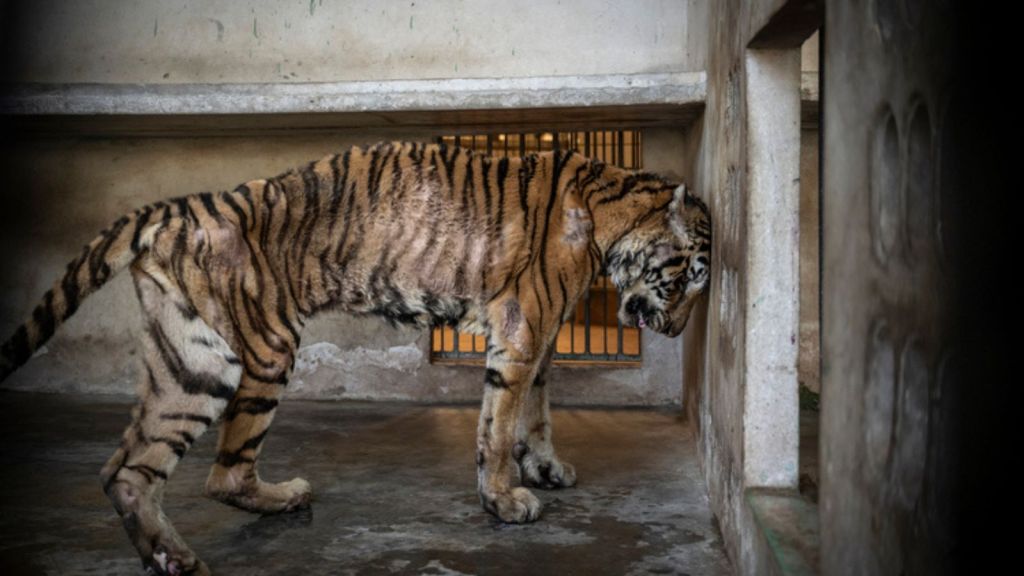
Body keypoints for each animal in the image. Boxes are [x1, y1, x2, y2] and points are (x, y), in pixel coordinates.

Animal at [0, 141, 711, 575]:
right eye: (687, 278)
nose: (676, 331)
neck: (613, 215)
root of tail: (181, 207)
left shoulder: (542, 336)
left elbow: (535, 410)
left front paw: (545, 469)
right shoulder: (522, 326)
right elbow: (499, 421)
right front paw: (505, 500)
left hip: (188, 363)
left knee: (127, 470)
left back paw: (174, 558)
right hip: (255, 353)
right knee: (221, 474)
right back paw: (271, 505)